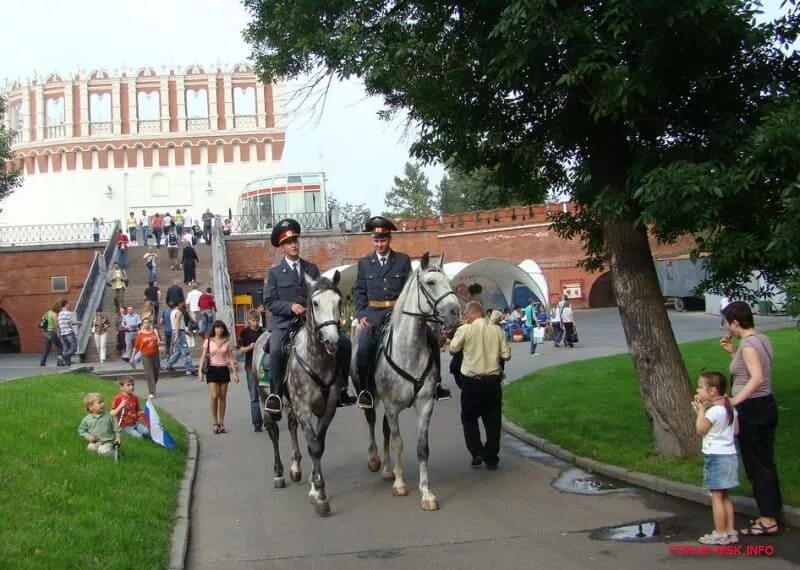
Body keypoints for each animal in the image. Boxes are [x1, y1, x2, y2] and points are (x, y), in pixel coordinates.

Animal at [352, 251, 460, 508]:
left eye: (449, 281)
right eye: (430, 282)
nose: (455, 311)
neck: (409, 348)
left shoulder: (425, 404)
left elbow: (422, 448)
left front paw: (426, 493)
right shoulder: (392, 406)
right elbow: (398, 442)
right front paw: (400, 485)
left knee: (384, 430)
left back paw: (388, 470)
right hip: (372, 399)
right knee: (373, 424)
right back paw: (375, 461)